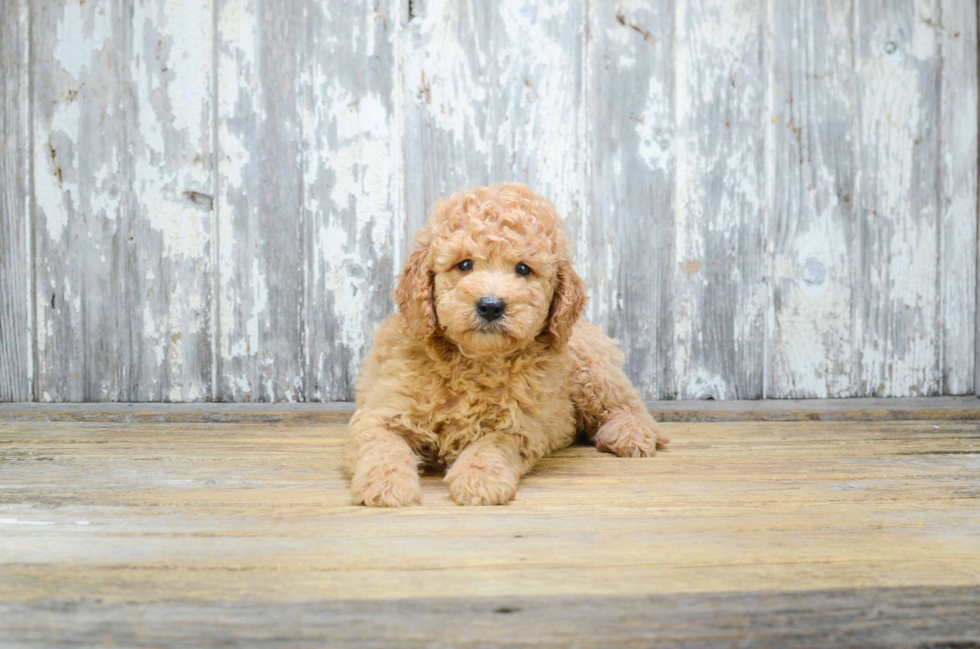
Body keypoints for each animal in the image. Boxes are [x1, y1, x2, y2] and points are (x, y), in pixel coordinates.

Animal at [342, 182, 668, 506]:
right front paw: (386, 484)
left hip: (590, 369)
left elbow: (491, 445)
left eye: (523, 269)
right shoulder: (381, 411)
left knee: (628, 406)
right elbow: (382, 444)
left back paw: (630, 434)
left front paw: (480, 479)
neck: (475, 361)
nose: (490, 306)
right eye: (464, 264)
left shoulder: (520, 426)